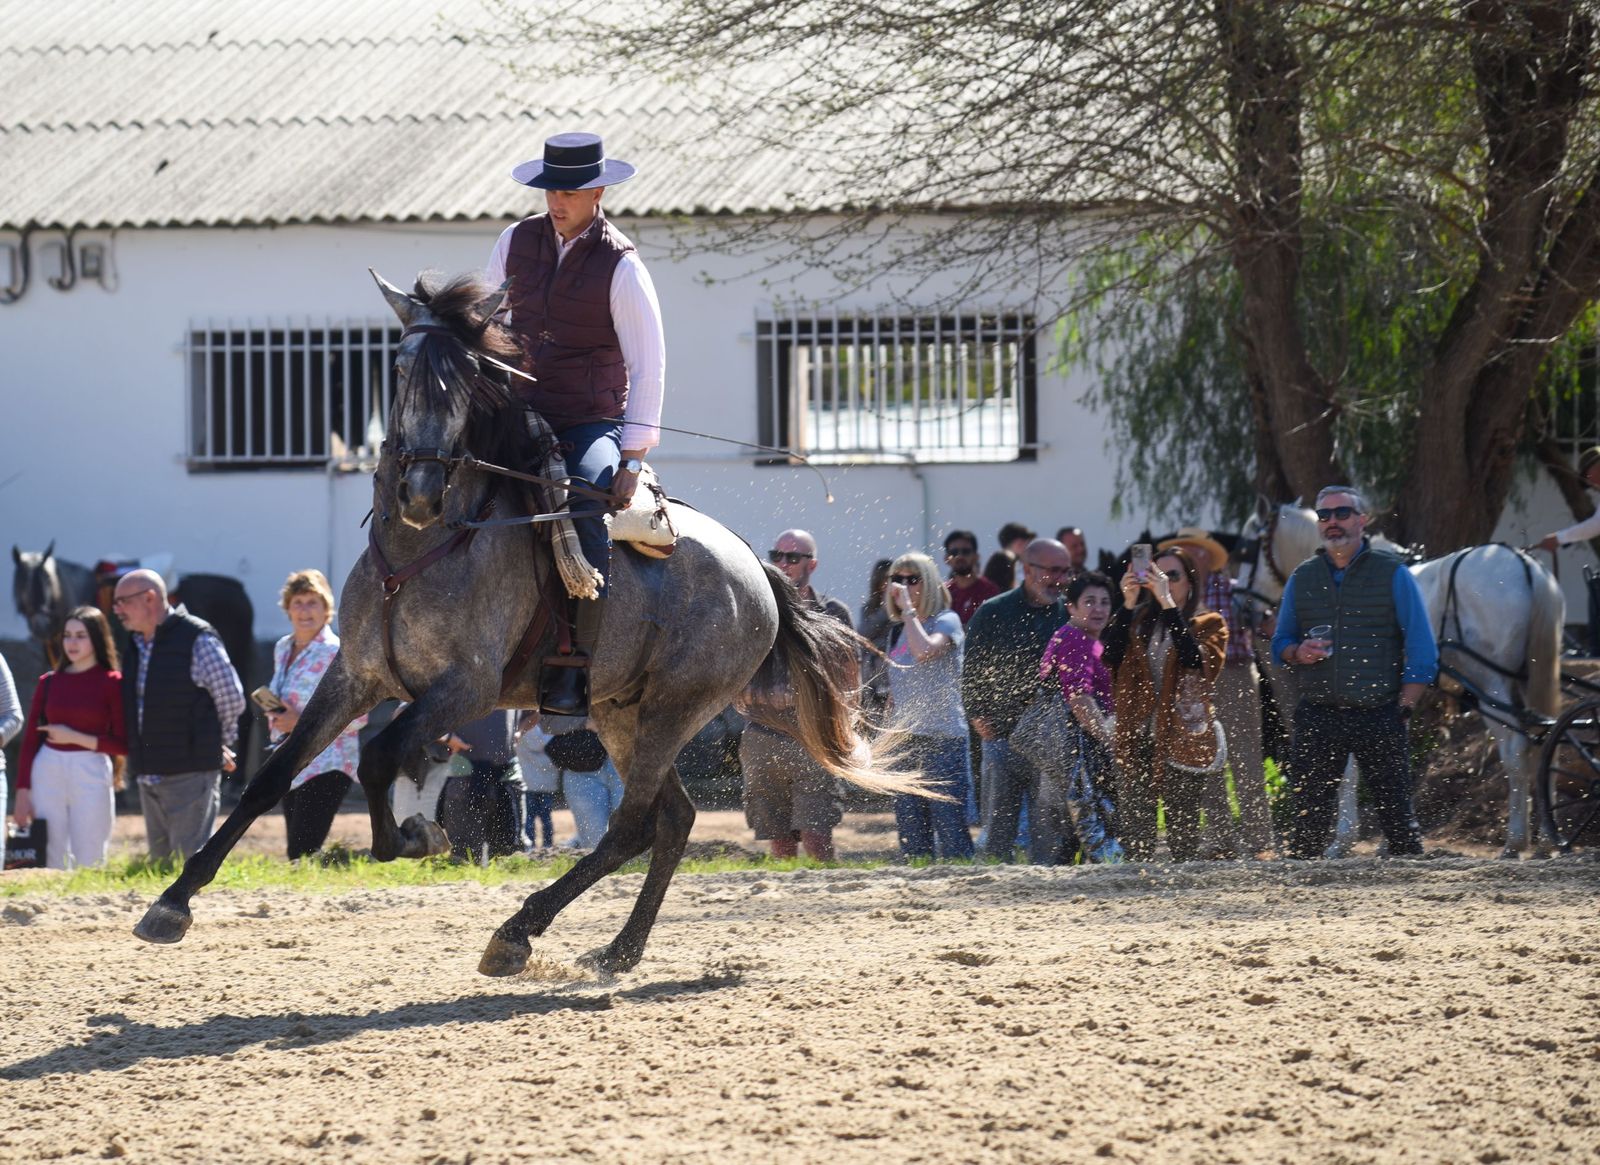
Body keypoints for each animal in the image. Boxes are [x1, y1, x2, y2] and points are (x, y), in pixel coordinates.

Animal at [132, 270, 925, 975]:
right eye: (399, 368)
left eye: (466, 379)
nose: (421, 490)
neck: (421, 551)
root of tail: (756, 569)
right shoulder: (355, 676)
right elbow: (272, 776)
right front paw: (173, 901)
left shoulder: (464, 689)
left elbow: (380, 756)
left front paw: (411, 836)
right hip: (622, 710)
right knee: (673, 821)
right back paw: (616, 950)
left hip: (676, 709)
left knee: (631, 825)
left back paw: (518, 932)